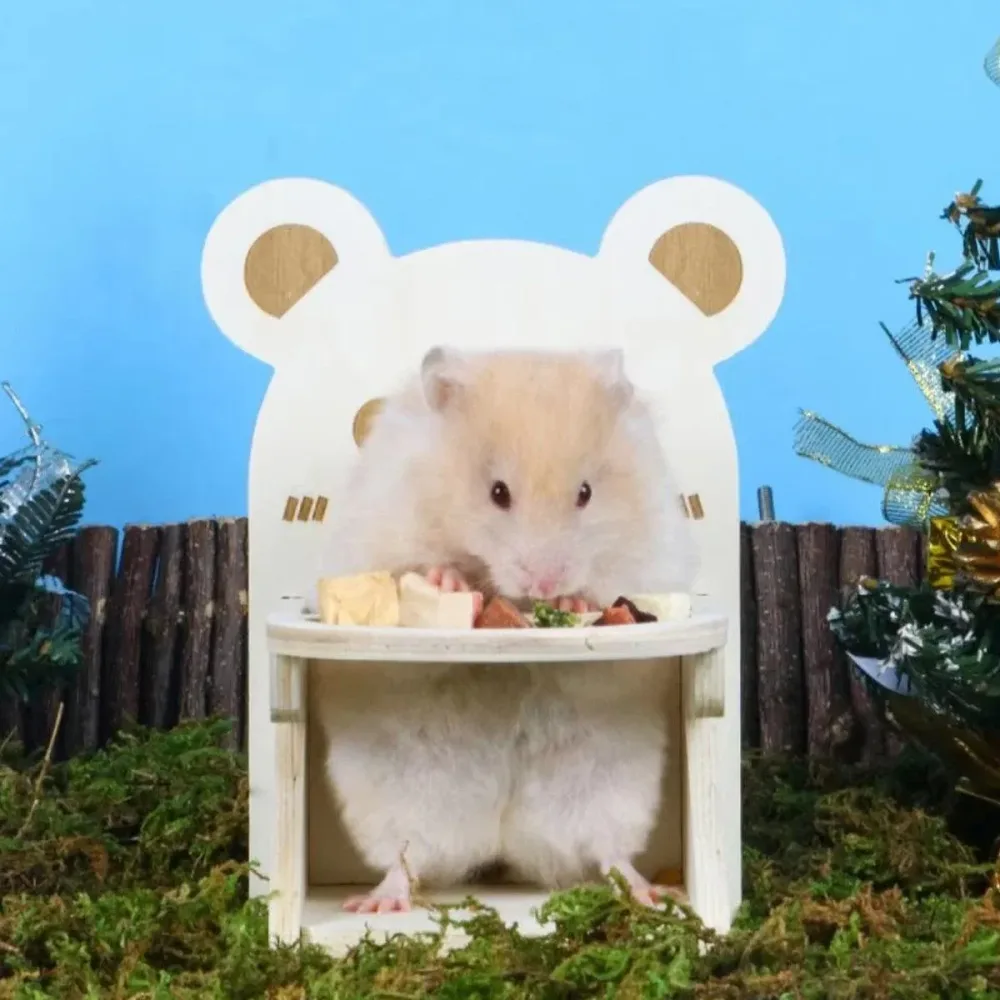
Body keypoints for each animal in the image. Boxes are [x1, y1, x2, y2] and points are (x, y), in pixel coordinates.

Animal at [317, 346, 697, 913]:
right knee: (405, 858)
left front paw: (571, 600)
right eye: (498, 492)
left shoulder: (643, 561)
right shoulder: (384, 536)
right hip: (396, 790)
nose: (544, 581)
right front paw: (448, 579)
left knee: (609, 852)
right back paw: (376, 903)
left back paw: (651, 892)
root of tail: (500, 839)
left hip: (611, 781)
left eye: (586, 492)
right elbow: (415, 569)